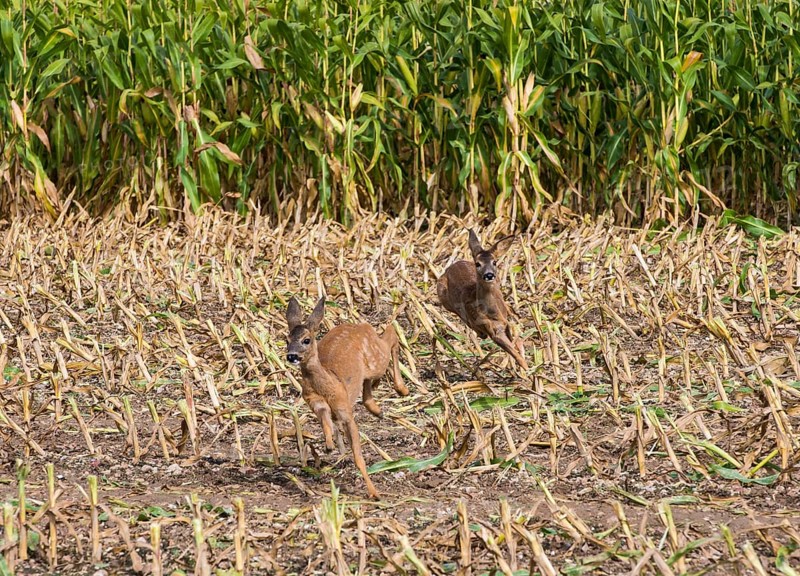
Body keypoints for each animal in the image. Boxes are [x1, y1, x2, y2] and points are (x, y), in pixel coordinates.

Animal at [285, 296, 409, 498]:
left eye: (306, 340)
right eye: (286, 339)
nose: (292, 356)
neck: (330, 383)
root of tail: (361, 325)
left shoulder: (346, 412)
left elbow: (358, 457)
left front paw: (374, 494)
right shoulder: (314, 401)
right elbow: (325, 418)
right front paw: (329, 445)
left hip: (377, 359)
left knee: (391, 334)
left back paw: (402, 389)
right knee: (367, 385)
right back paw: (378, 409)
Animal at [437, 228, 528, 372]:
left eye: (494, 262)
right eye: (478, 264)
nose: (489, 275)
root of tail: (451, 266)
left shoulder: (505, 323)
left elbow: (513, 340)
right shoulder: (493, 331)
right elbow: (512, 351)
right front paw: (526, 368)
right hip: (443, 297)